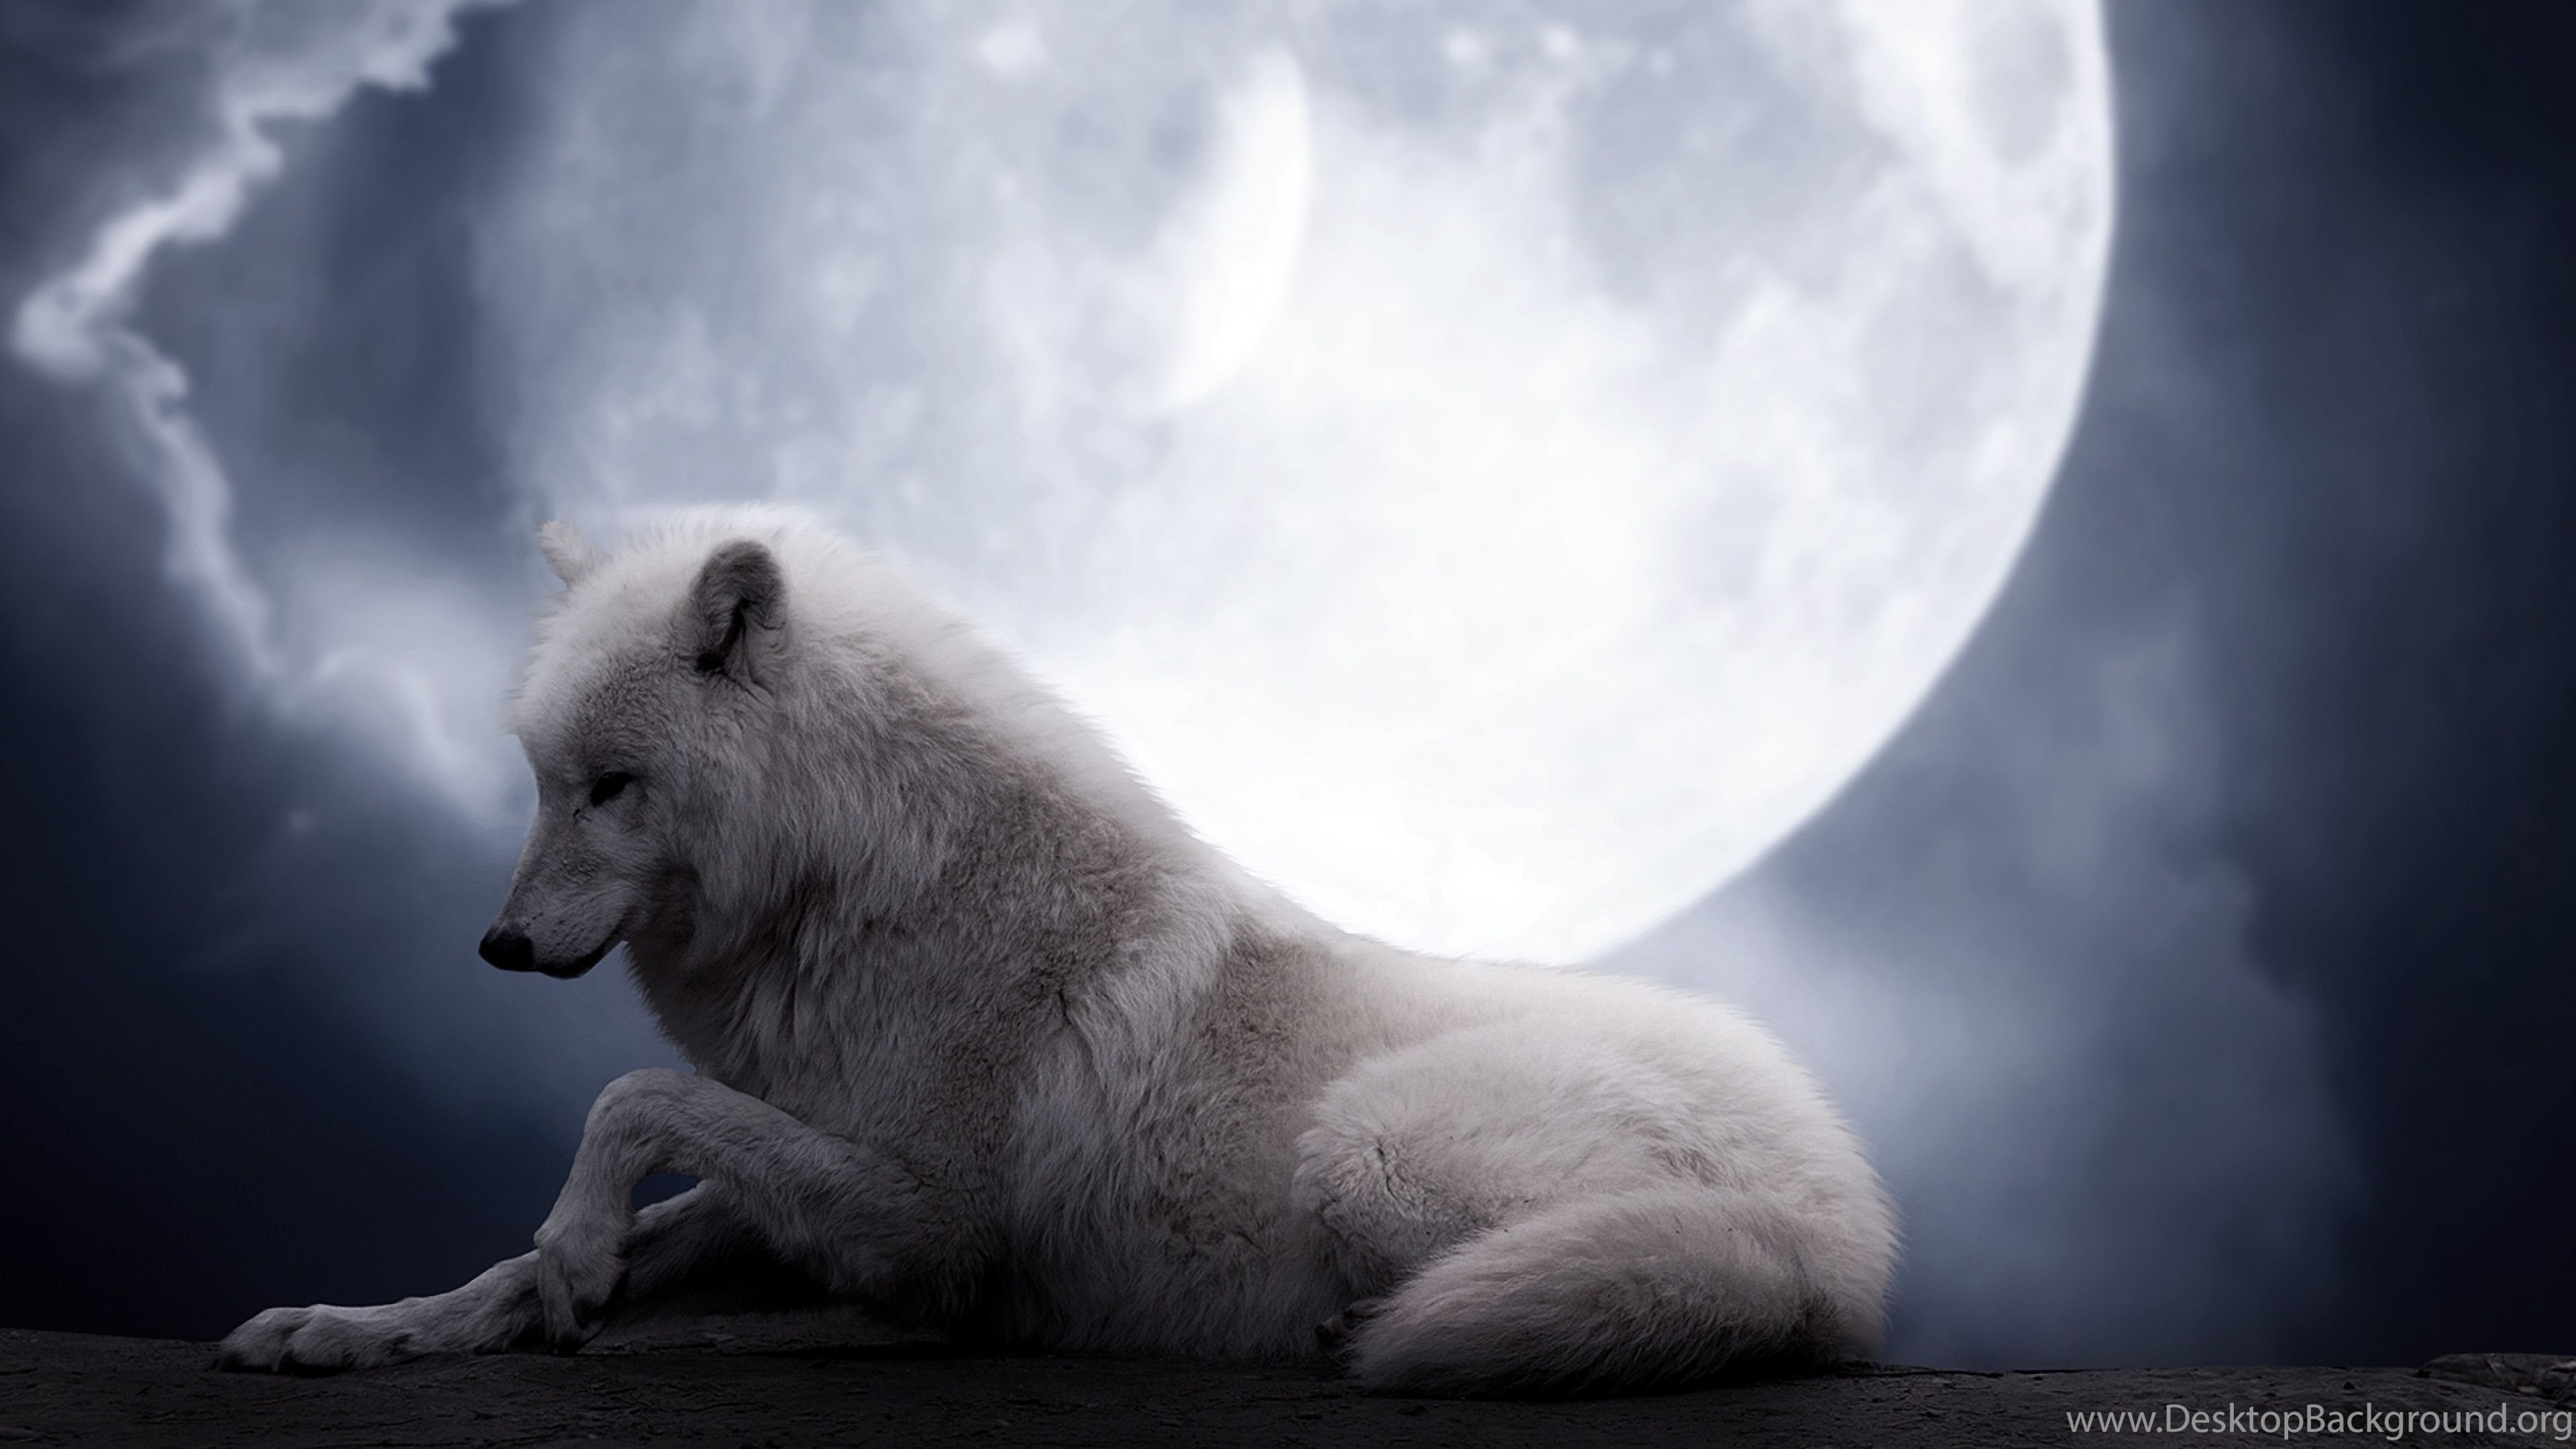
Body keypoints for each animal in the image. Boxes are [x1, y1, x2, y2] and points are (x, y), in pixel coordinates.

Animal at [218, 509, 1896, 1395]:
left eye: (611, 787)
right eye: (539, 779)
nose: (496, 947)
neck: (865, 885)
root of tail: (1847, 1224)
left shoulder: (929, 1222)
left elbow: (630, 1100)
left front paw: (573, 1254)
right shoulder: (815, 1179)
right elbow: (546, 1247)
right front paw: (364, 1327)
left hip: (1364, 1148)